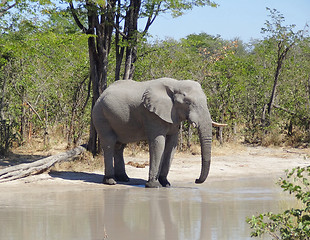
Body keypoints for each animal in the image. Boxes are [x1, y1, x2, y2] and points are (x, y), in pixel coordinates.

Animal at [92, 78, 223, 188]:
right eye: (187, 103)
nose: (196, 180)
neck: (176, 84)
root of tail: (101, 94)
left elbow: (172, 145)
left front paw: (166, 184)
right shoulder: (151, 115)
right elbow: (158, 143)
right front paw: (154, 185)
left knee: (119, 146)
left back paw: (124, 179)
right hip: (101, 116)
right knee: (109, 143)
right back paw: (110, 181)